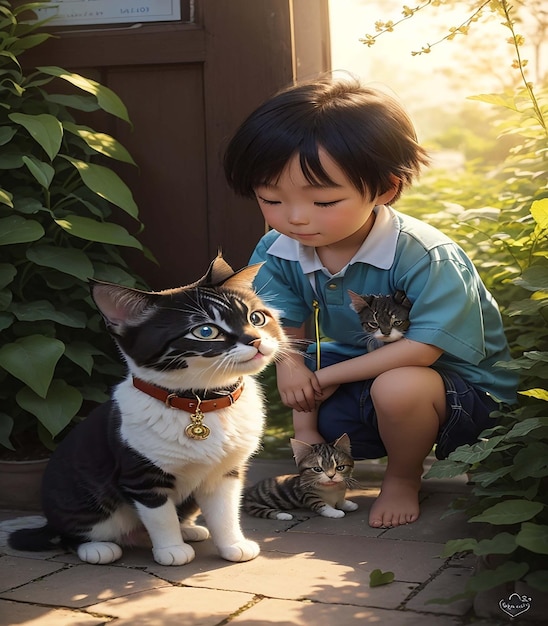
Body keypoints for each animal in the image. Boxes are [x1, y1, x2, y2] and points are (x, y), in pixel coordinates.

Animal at [8, 254, 286, 564]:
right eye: (205, 331)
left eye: (256, 317)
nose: (255, 340)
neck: (200, 403)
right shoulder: (141, 474)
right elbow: (160, 517)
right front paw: (171, 550)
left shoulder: (225, 472)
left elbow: (225, 511)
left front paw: (233, 545)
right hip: (76, 497)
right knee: (71, 532)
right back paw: (97, 547)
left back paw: (189, 529)